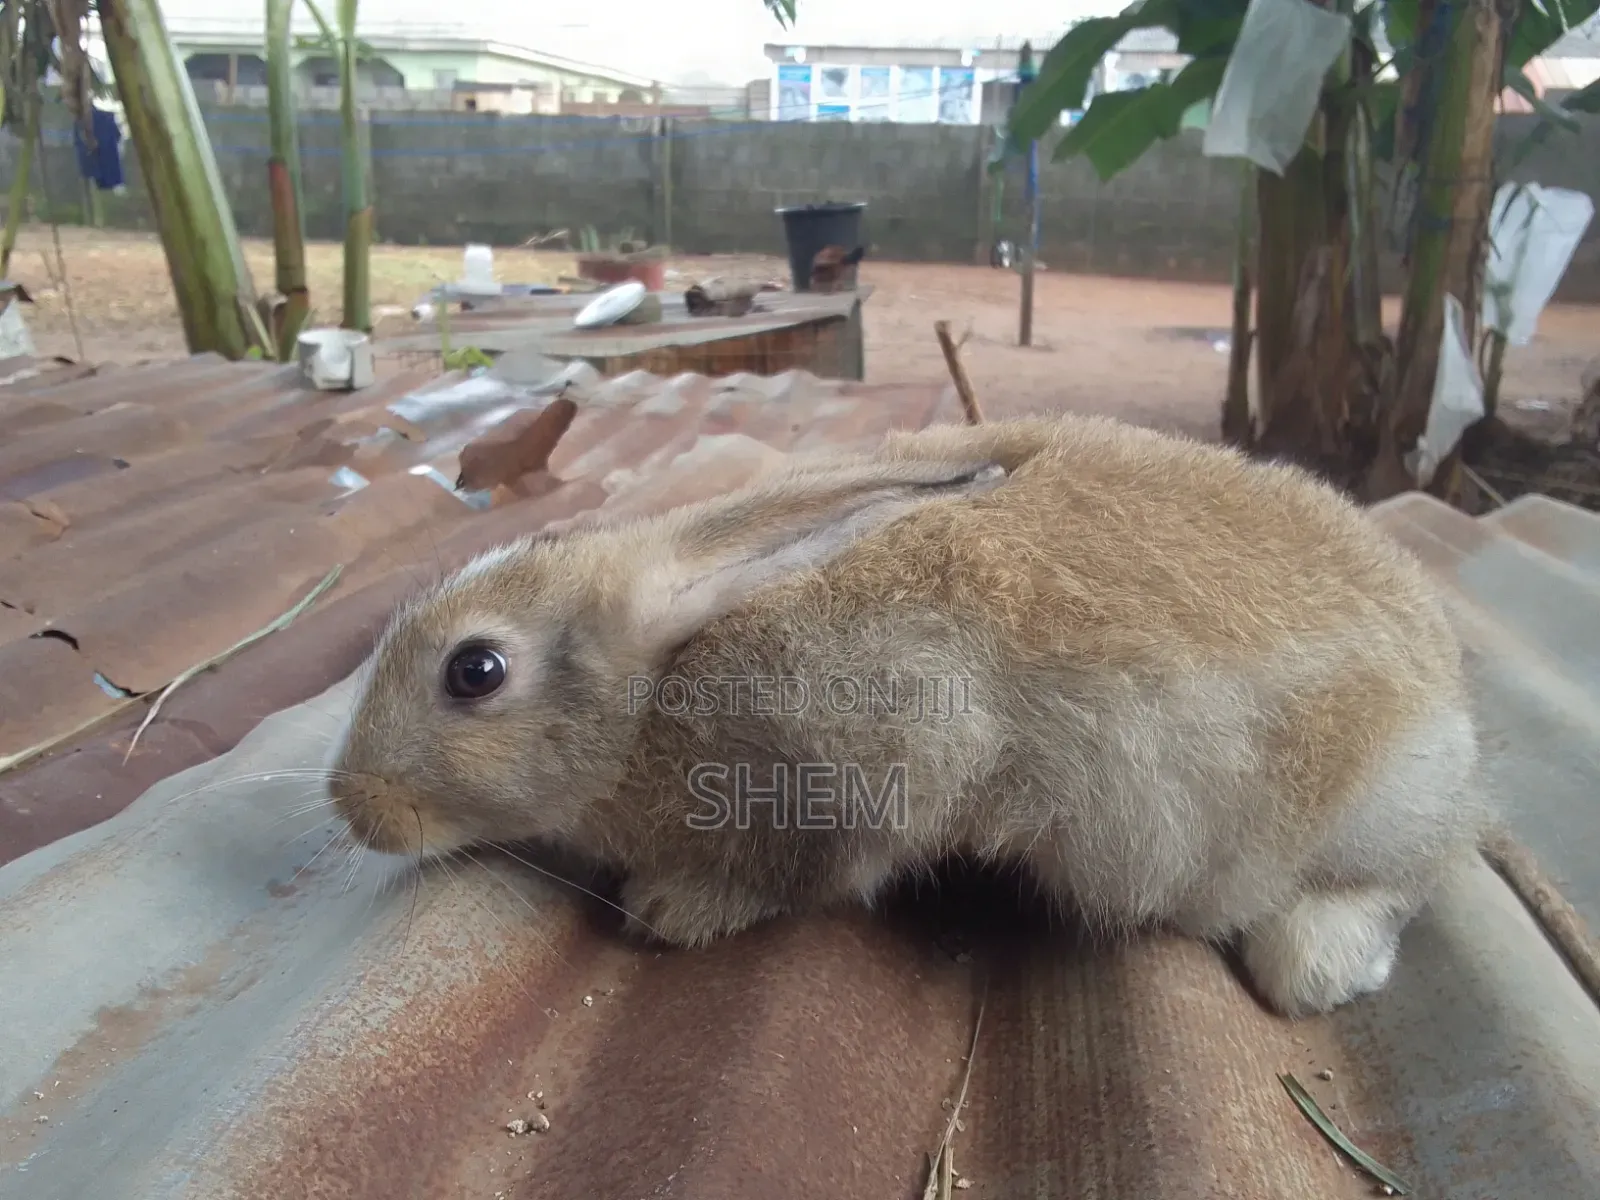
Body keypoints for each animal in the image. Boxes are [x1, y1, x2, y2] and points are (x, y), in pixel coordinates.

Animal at [327, 412, 1486, 1018]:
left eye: (474, 671)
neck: (657, 687)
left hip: (1359, 815)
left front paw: (673, 909)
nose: (351, 807)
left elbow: (805, 872)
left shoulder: (883, 756)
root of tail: (1453, 716)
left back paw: (1322, 963)